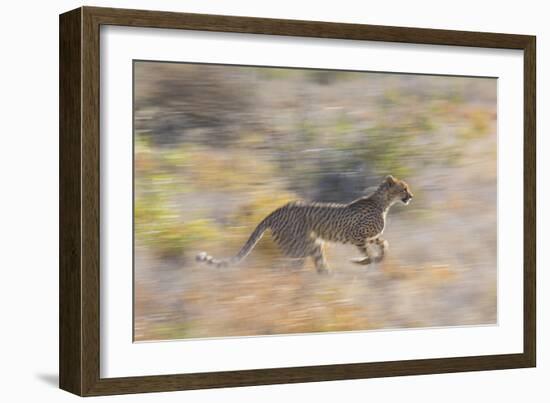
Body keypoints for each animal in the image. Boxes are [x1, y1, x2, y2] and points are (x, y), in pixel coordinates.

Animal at [198, 175, 414, 274]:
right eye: (403, 188)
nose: (411, 196)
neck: (383, 203)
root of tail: (278, 209)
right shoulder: (357, 236)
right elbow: (369, 253)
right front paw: (362, 261)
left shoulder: (369, 236)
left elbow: (384, 244)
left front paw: (375, 258)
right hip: (300, 246)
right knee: (288, 265)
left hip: (312, 245)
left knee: (315, 266)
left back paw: (327, 281)